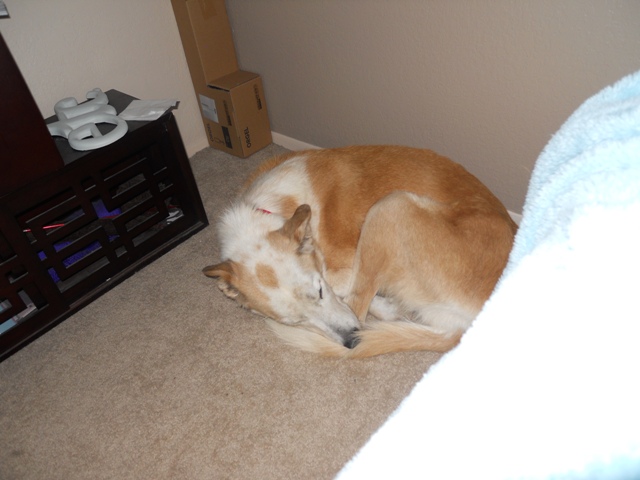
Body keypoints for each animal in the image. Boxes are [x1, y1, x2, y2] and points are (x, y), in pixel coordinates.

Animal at [203, 145, 517, 357]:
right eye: (294, 321)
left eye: (320, 291)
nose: (352, 341)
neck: (267, 210)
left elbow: (347, 293)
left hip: (391, 205)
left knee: (359, 303)